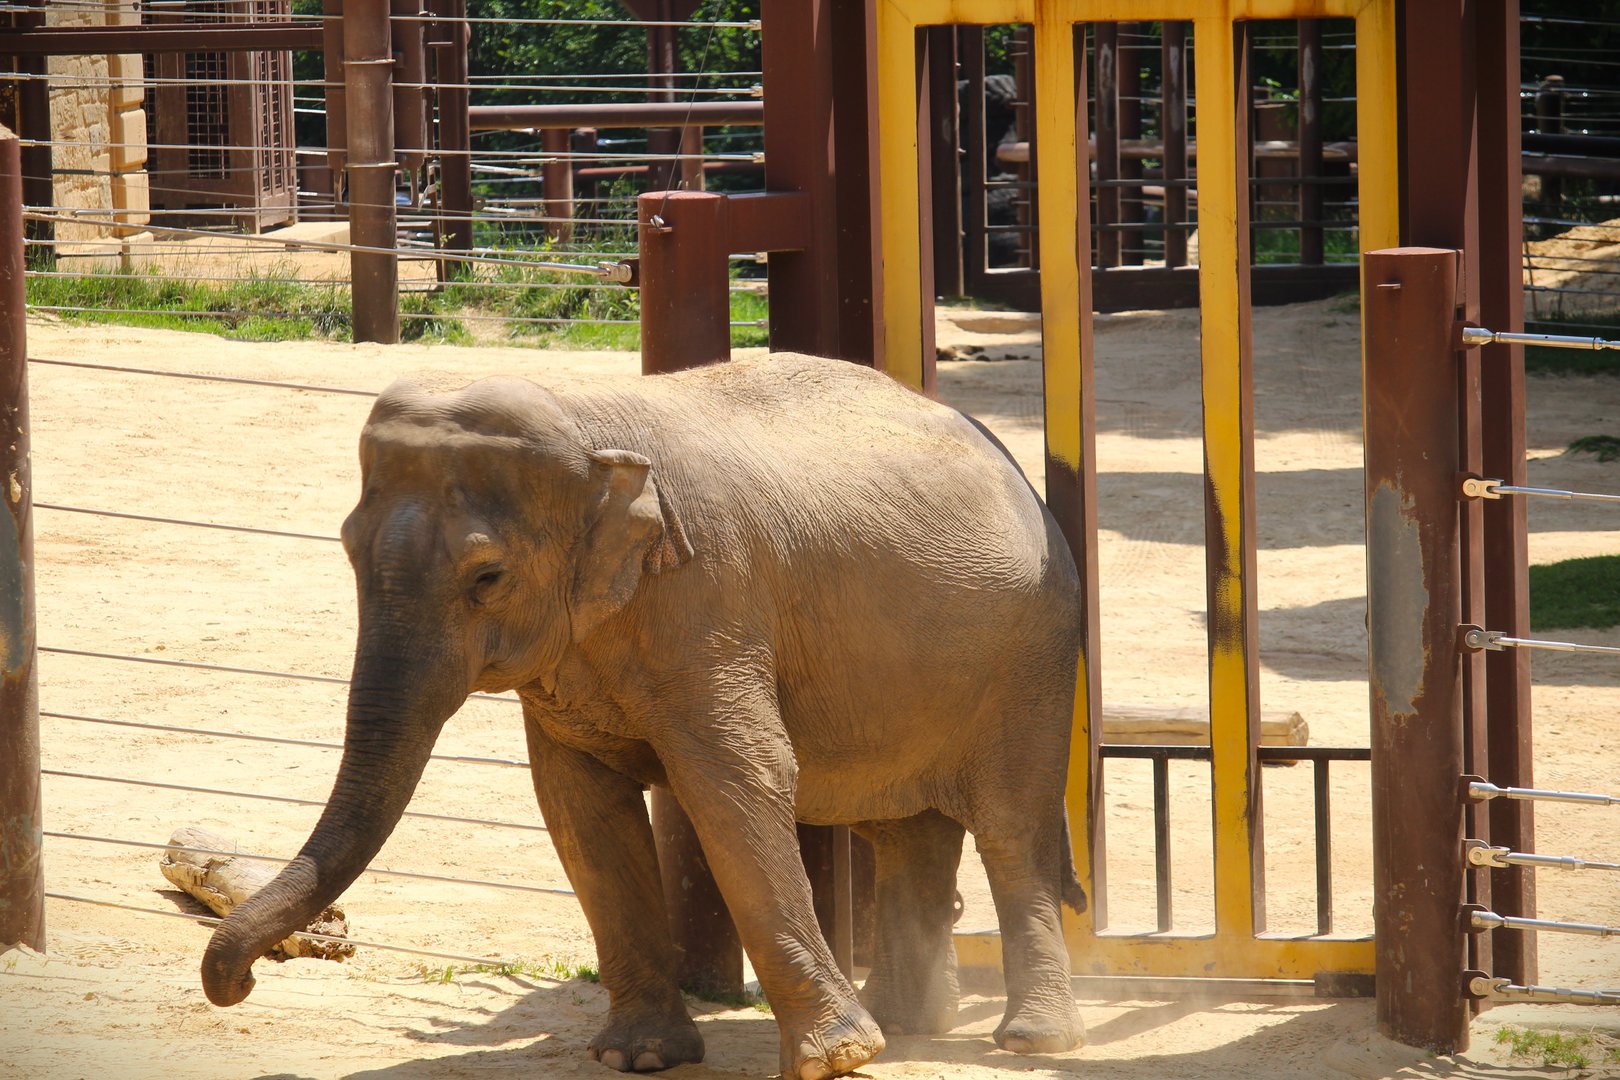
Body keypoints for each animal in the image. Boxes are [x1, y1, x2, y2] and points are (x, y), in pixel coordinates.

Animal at [200, 353, 1088, 1079]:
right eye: (349, 550)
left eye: (488, 578)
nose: (240, 981)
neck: (587, 423)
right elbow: (579, 808)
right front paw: (641, 1057)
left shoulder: (712, 601)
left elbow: (740, 782)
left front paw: (834, 1060)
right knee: (906, 831)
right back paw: (909, 1024)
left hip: (1032, 654)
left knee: (1009, 825)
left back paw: (1030, 1040)